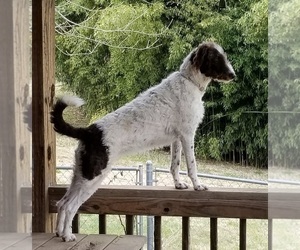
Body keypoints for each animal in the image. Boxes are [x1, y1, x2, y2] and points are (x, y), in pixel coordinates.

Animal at [51, 41, 234, 242]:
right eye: (216, 58)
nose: (233, 75)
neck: (189, 81)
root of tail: (89, 131)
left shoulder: (177, 139)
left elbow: (175, 166)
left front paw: (178, 185)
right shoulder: (188, 135)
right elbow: (192, 166)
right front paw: (198, 186)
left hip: (80, 175)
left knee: (61, 203)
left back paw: (60, 233)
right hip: (92, 177)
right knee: (70, 206)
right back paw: (68, 236)